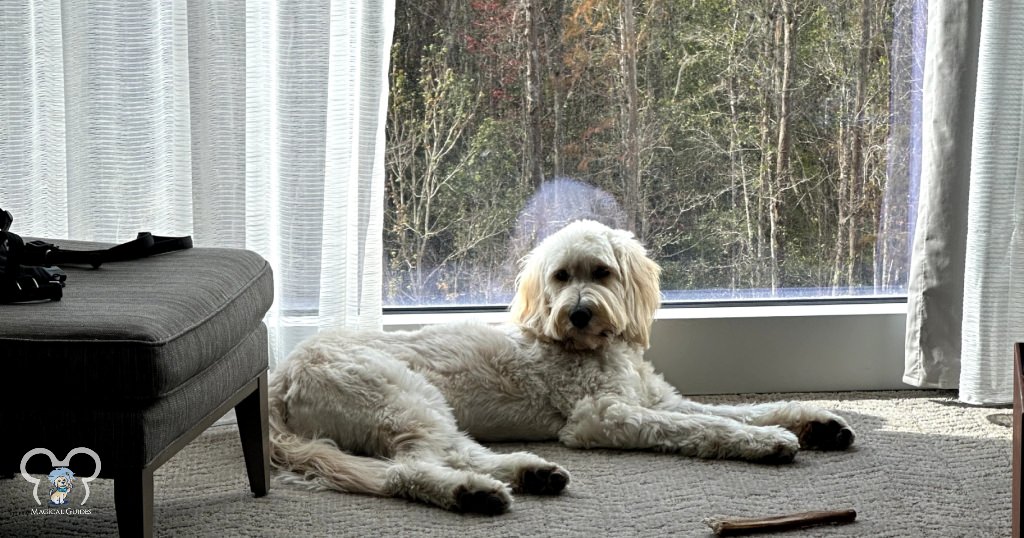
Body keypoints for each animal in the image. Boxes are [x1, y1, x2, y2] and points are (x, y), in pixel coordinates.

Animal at [272, 218, 856, 512]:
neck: (596, 347)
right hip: (403, 397)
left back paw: (528, 474)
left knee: (451, 455)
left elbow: (740, 411)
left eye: (601, 272)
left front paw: (817, 423)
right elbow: (704, 426)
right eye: (559, 277)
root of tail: (280, 379)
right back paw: (475, 493)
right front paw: (769, 442)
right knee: (415, 466)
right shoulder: (603, 416)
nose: (576, 313)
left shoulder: (657, 398)